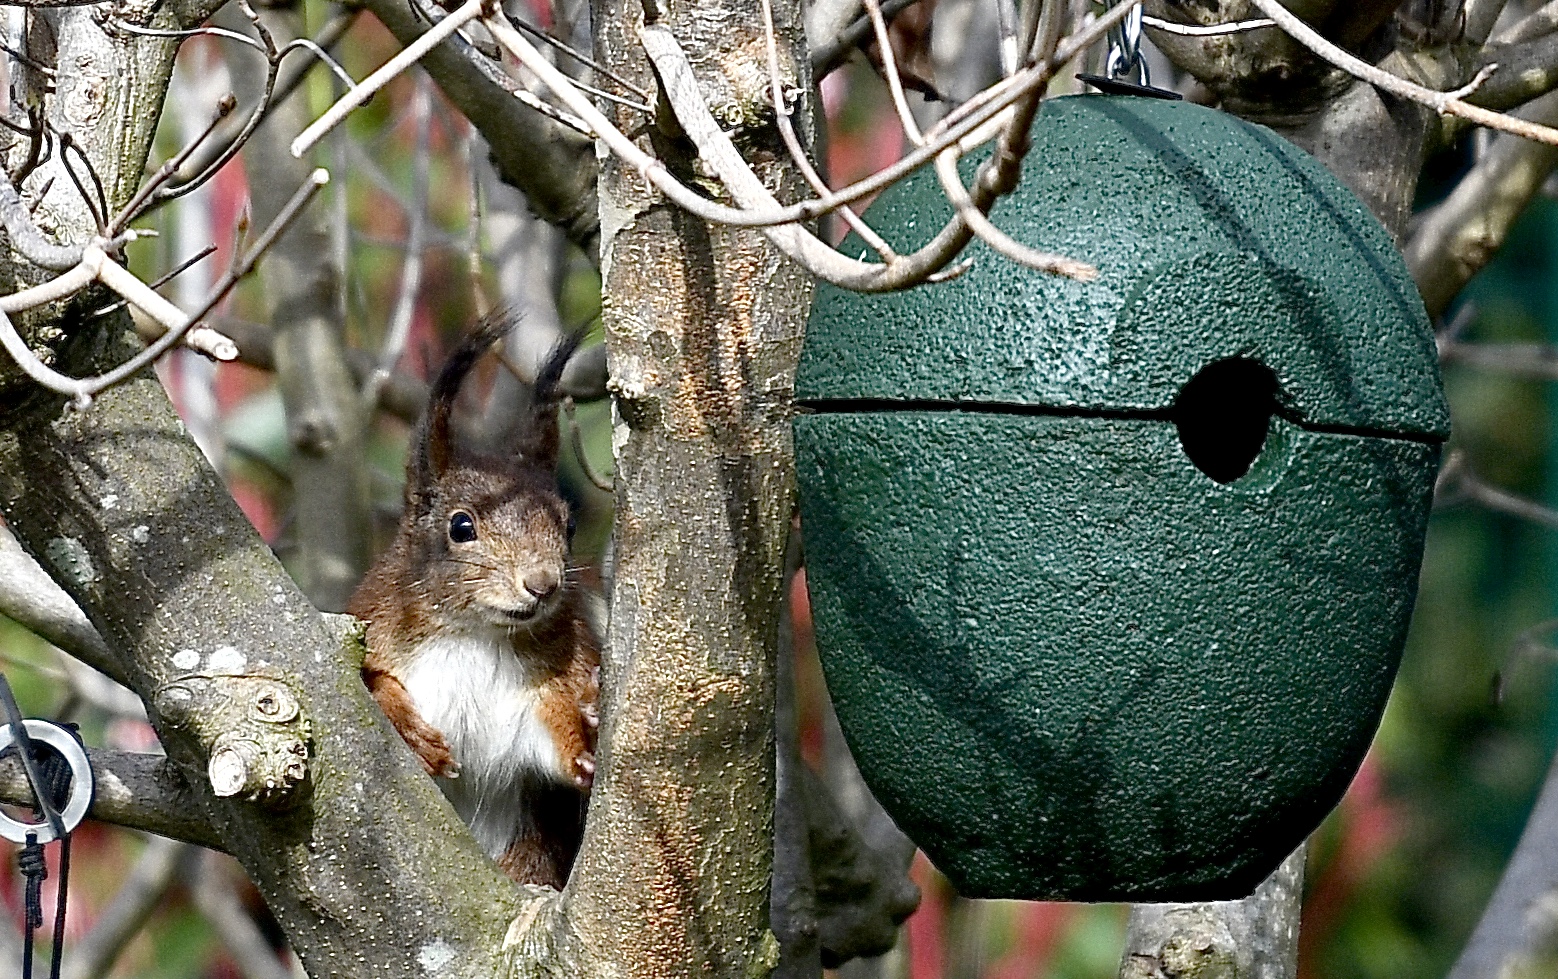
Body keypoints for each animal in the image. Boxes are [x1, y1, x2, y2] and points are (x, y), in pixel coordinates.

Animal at [350, 313, 598, 885]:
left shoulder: (547, 679)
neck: (477, 635)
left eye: (568, 525)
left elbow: (555, 724)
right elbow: (368, 681)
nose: (542, 584)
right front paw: (412, 731)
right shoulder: (372, 624)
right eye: (461, 526)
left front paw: (584, 745)